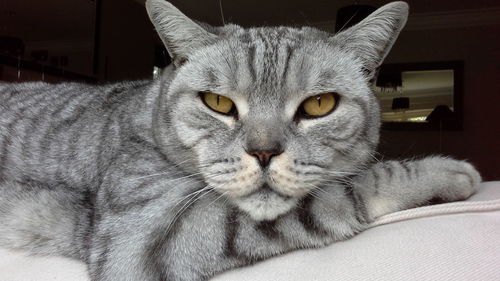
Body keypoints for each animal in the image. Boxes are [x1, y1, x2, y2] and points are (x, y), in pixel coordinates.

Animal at [0, 0, 480, 280]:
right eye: (217, 102)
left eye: (319, 105)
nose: (263, 152)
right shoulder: (141, 241)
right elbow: (346, 190)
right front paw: (443, 172)